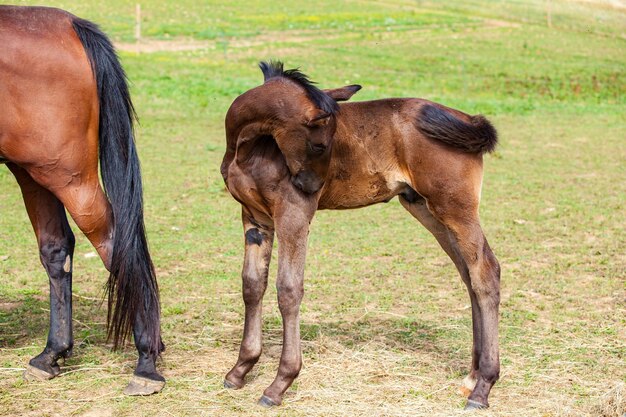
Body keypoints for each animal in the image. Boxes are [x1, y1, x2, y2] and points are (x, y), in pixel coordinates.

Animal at [0, 5, 163, 394]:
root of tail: (70, 26)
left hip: (67, 177)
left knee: (116, 246)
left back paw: (146, 362)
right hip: (34, 170)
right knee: (57, 248)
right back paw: (51, 355)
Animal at [222, 61, 500, 410]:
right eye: (320, 144)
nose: (311, 188)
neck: (249, 147)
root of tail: (469, 120)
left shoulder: (292, 214)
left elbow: (288, 289)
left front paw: (280, 383)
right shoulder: (254, 217)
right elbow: (252, 285)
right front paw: (240, 369)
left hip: (455, 207)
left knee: (486, 271)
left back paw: (483, 387)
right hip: (427, 209)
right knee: (468, 275)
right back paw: (472, 377)